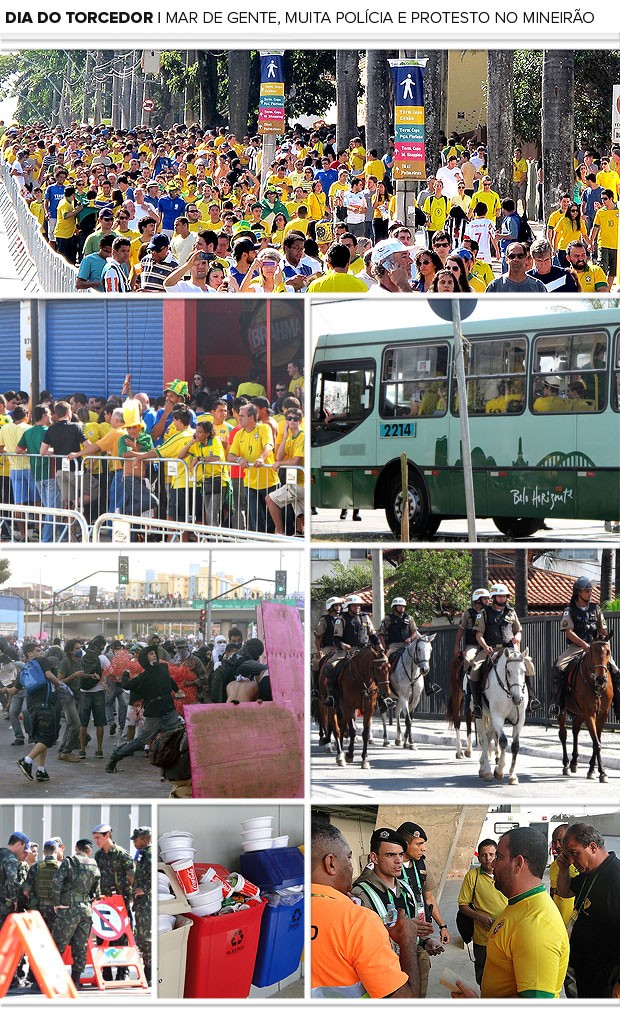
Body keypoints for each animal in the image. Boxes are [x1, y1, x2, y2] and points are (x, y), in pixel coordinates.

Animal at [476, 650, 529, 783]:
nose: (518, 699)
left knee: (488, 736)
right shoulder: (498, 717)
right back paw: (487, 771)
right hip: (480, 716)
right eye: (508, 671)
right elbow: (503, 741)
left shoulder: (520, 720)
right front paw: (499, 771)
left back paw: (482, 766)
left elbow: (515, 746)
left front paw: (513, 776)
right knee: (483, 739)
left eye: (524, 671)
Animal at [561, 634, 613, 783]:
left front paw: (595, 769)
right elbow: (596, 743)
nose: (601, 678)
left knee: (575, 730)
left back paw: (574, 762)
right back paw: (566, 764)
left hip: (580, 714)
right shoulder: (590, 714)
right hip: (562, 710)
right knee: (563, 734)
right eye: (592, 652)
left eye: (608, 652)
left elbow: (597, 741)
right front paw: (600, 771)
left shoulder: (602, 714)